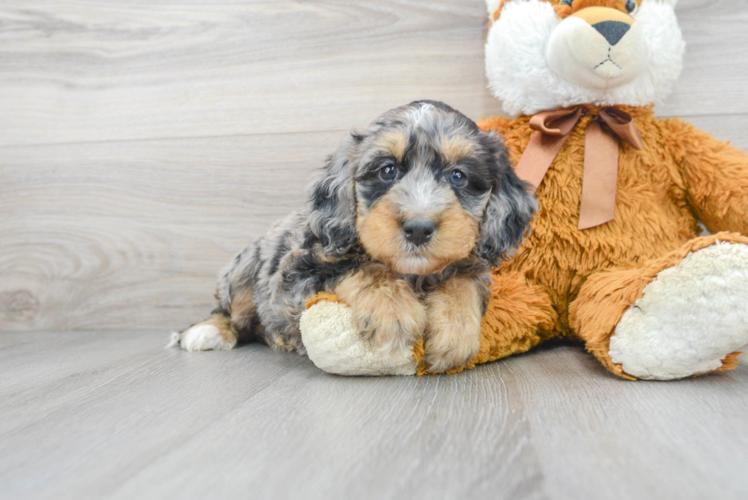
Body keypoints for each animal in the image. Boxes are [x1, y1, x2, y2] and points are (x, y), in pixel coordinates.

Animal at [172, 100, 536, 372]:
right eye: (387, 170)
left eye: (458, 176)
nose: (418, 228)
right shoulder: (296, 273)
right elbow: (360, 267)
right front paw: (393, 310)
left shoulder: (472, 264)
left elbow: (463, 280)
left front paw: (455, 332)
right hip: (244, 273)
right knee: (229, 311)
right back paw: (207, 332)